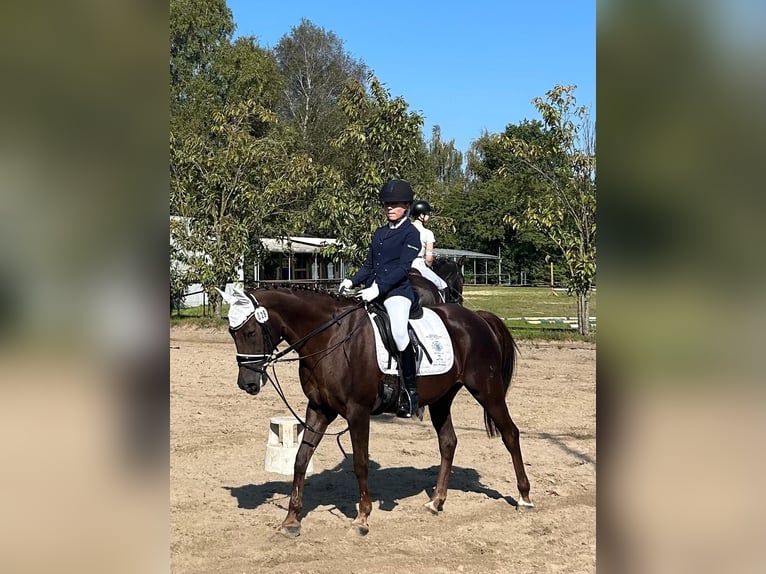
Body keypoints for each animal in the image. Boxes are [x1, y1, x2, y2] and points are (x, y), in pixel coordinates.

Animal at [222, 286, 536, 540]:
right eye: (231, 332)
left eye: (250, 332)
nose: (247, 383)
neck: (329, 338)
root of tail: (478, 318)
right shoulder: (319, 409)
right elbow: (300, 459)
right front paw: (291, 520)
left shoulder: (357, 412)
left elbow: (360, 463)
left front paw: (362, 518)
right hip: (441, 399)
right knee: (448, 442)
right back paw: (436, 502)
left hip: (487, 390)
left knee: (510, 434)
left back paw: (524, 497)